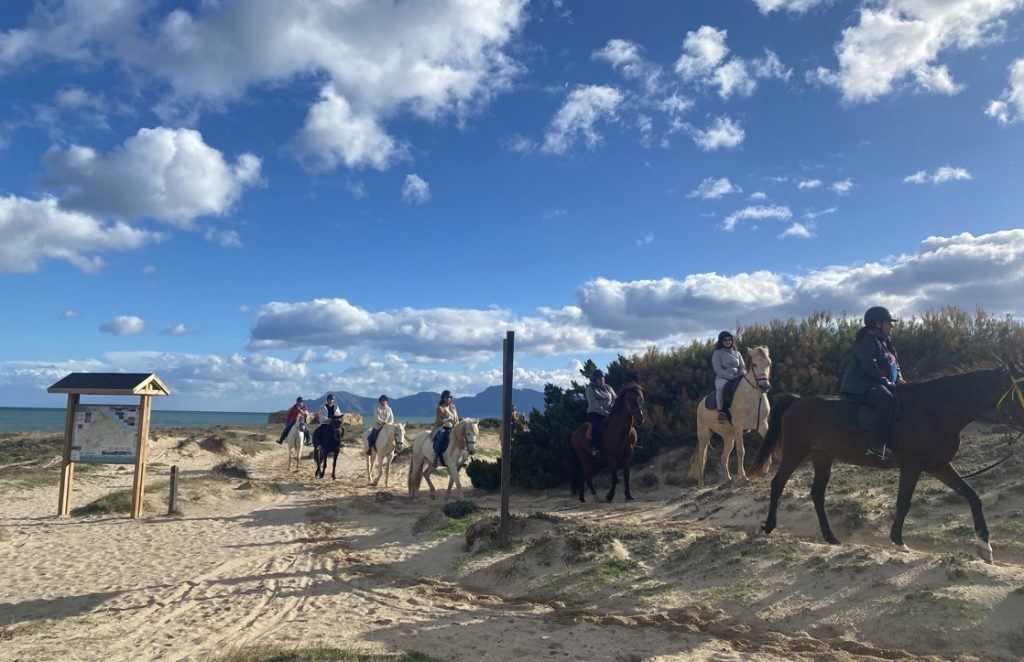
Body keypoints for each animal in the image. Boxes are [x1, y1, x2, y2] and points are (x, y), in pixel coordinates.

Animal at [688, 348, 770, 487]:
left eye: (769, 364)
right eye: (754, 364)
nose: (764, 386)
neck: (751, 396)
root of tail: (701, 403)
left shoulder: (762, 425)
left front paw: (765, 470)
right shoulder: (739, 428)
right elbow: (741, 451)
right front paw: (743, 477)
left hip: (728, 437)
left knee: (723, 458)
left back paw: (728, 479)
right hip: (704, 436)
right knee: (701, 459)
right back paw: (701, 483)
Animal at [749, 364, 1024, 561]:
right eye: (1021, 395)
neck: (936, 411)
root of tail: (798, 401)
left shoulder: (939, 466)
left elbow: (972, 497)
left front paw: (985, 547)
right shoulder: (912, 467)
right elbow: (904, 502)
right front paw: (898, 541)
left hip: (823, 456)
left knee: (817, 493)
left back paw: (830, 537)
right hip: (795, 452)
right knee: (777, 484)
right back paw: (769, 526)